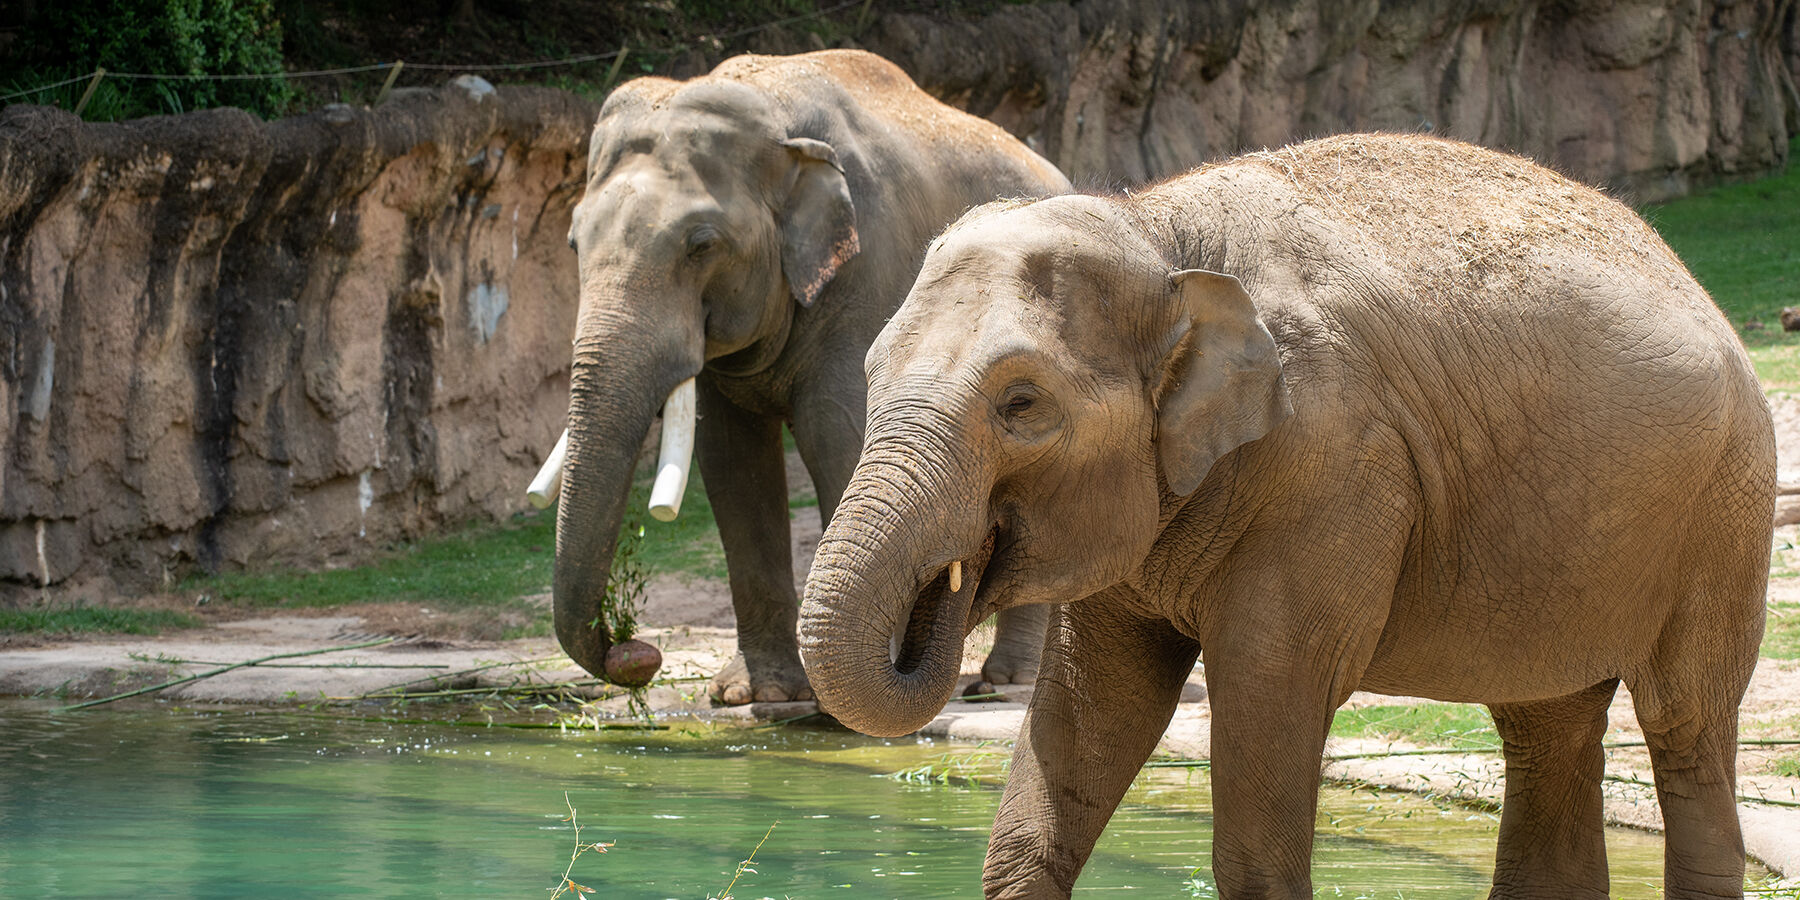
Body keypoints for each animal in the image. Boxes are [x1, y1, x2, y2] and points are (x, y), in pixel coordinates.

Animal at [555, 50, 1070, 705]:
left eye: (701, 245)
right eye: (574, 242)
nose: (638, 652)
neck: (776, 120)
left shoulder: (868, 273)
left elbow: (836, 434)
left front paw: (849, 699)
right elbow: (731, 460)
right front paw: (758, 696)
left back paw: (1003, 684)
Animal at [799, 133, 1773, 897]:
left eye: (1022, 405)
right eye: (873, 370)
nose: (949, 585)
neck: (1155, 232)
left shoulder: (1333, 463)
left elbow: (1267, 693)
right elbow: (1092, 707)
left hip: (1728, 509)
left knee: (1685, 724)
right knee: (1547, 728)